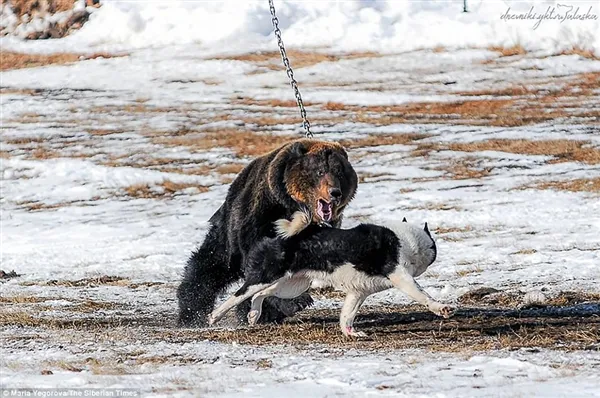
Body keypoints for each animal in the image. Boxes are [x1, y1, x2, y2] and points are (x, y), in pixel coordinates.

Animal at [177, 140, 356, 326]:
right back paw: (191, 312)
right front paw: (294, 302)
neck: (293, 206)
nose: (334, 192)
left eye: (339, 172)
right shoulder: (262, 215)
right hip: (227, 234)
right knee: (208, 266)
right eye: (319, 171)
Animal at [207, 211, 454, 336]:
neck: (408, 239)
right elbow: (423, 295)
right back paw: (214, 317)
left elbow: (347, 316)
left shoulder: (358, 293)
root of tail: (285, 237)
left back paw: (253, 315)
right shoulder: (401, 277)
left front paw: (351, 333)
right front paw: (441, 308)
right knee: (238, 295)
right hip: (265, 277)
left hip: (291, 285)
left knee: (261, 295)